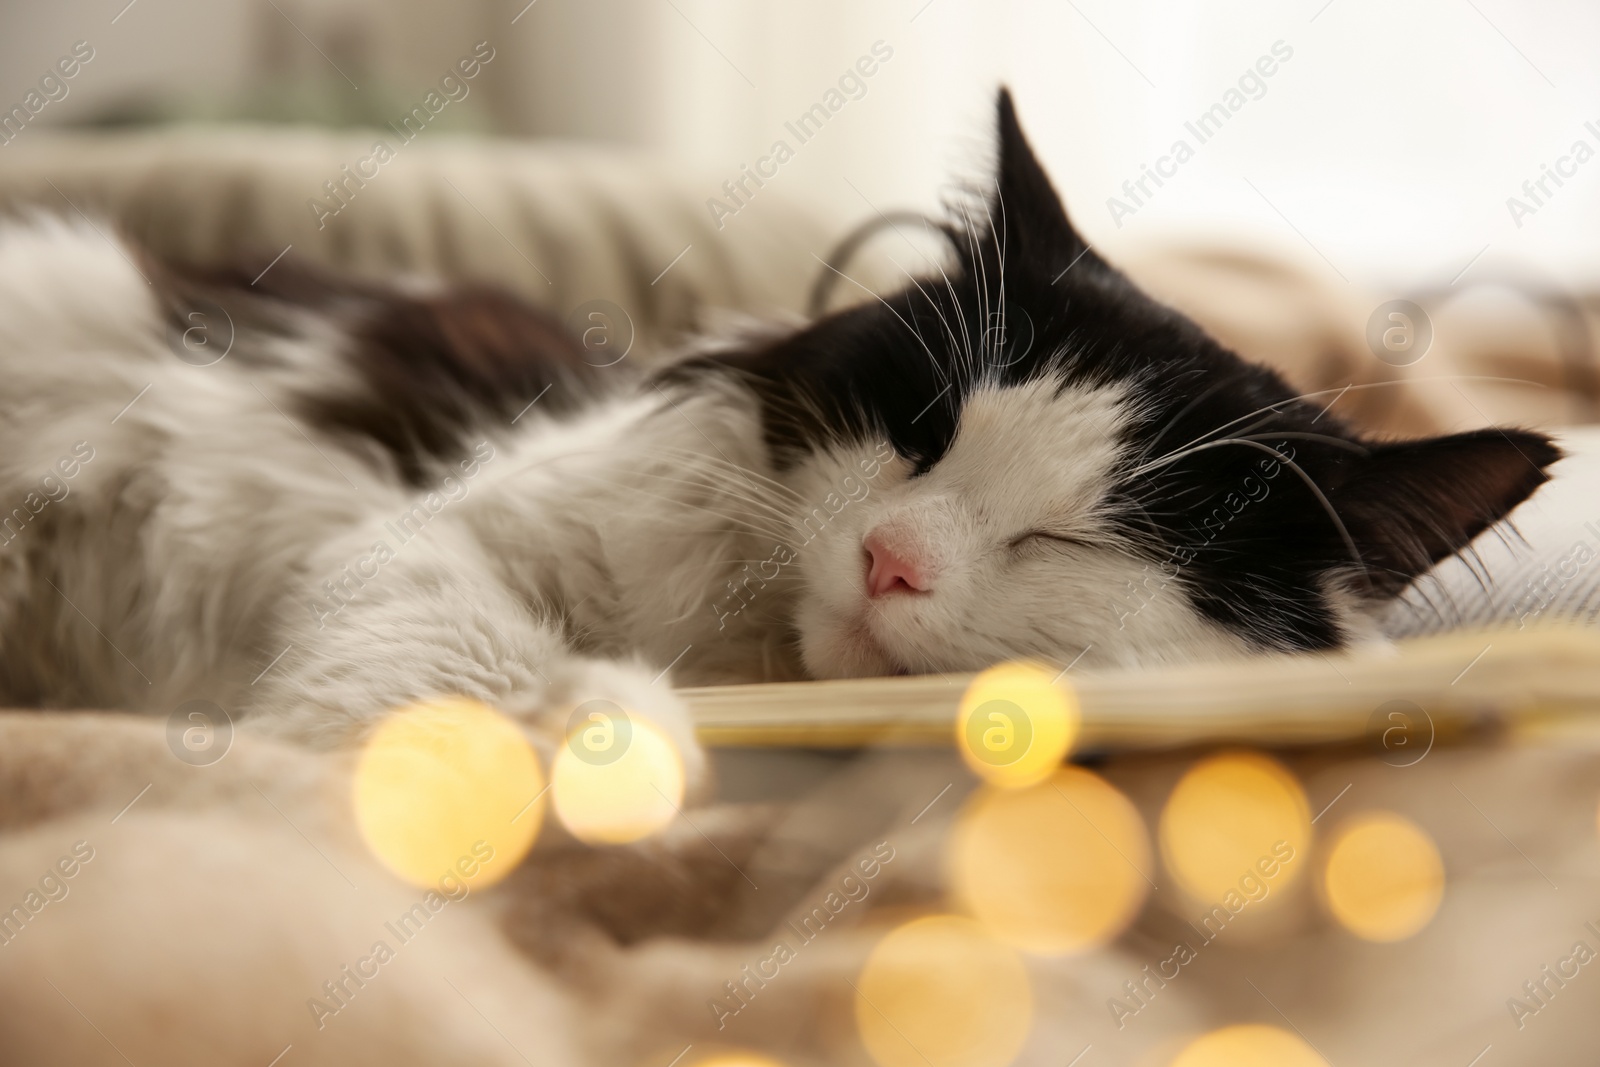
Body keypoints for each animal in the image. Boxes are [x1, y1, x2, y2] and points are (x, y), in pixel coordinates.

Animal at [0, 87, 1561, 764]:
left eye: (1071, 541)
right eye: (923, 432)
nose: (888, 560)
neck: (744, 658)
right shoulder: (446, 535)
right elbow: (463, 662)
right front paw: (576, 736)